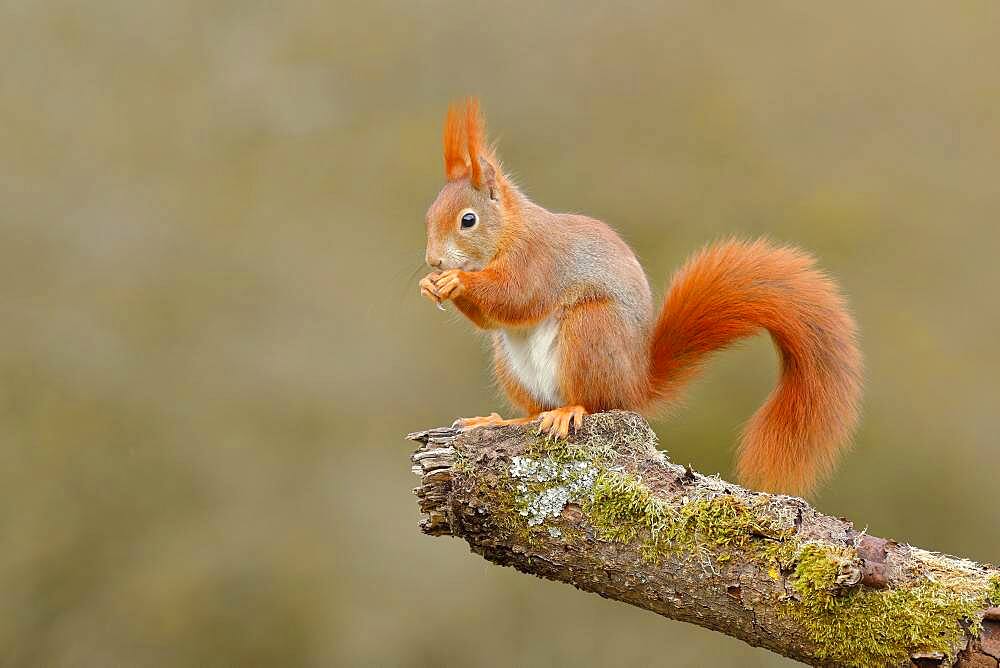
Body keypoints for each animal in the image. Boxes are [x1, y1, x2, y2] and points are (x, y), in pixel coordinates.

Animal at [418, 99, 864, 496]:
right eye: (429, 216)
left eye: (468, 220)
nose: (433, 260)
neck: (509, 233)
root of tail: (635, 385)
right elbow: (493, 318)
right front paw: (430, 283)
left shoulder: (540, 260)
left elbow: (517, 297)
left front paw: (456, 280)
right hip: (511, 364)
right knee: (533, 412)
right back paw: (501, 421)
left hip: (591, 331)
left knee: (593, 402)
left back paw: (569, 411)